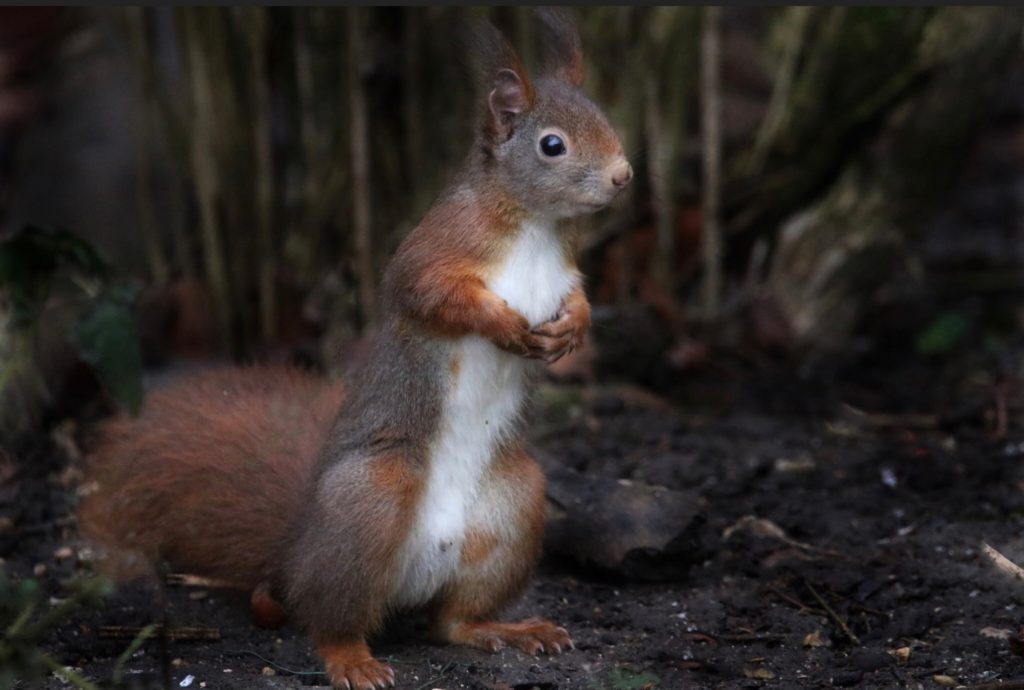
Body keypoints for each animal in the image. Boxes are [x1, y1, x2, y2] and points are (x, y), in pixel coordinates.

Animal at [77, 10, 630, 687]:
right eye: (553, 145)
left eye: (602, 115)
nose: (624, 175)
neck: (534, 226)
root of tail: (294, 554)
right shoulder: (431, 251)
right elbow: (429, 294)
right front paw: (502, 323)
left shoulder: (566, 271)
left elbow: (578, 301)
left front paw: (568, 331)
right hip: (371, 497)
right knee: (329, 619)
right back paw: (351, 659)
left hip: (515, 504)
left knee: (452, 622)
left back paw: (507, 629)